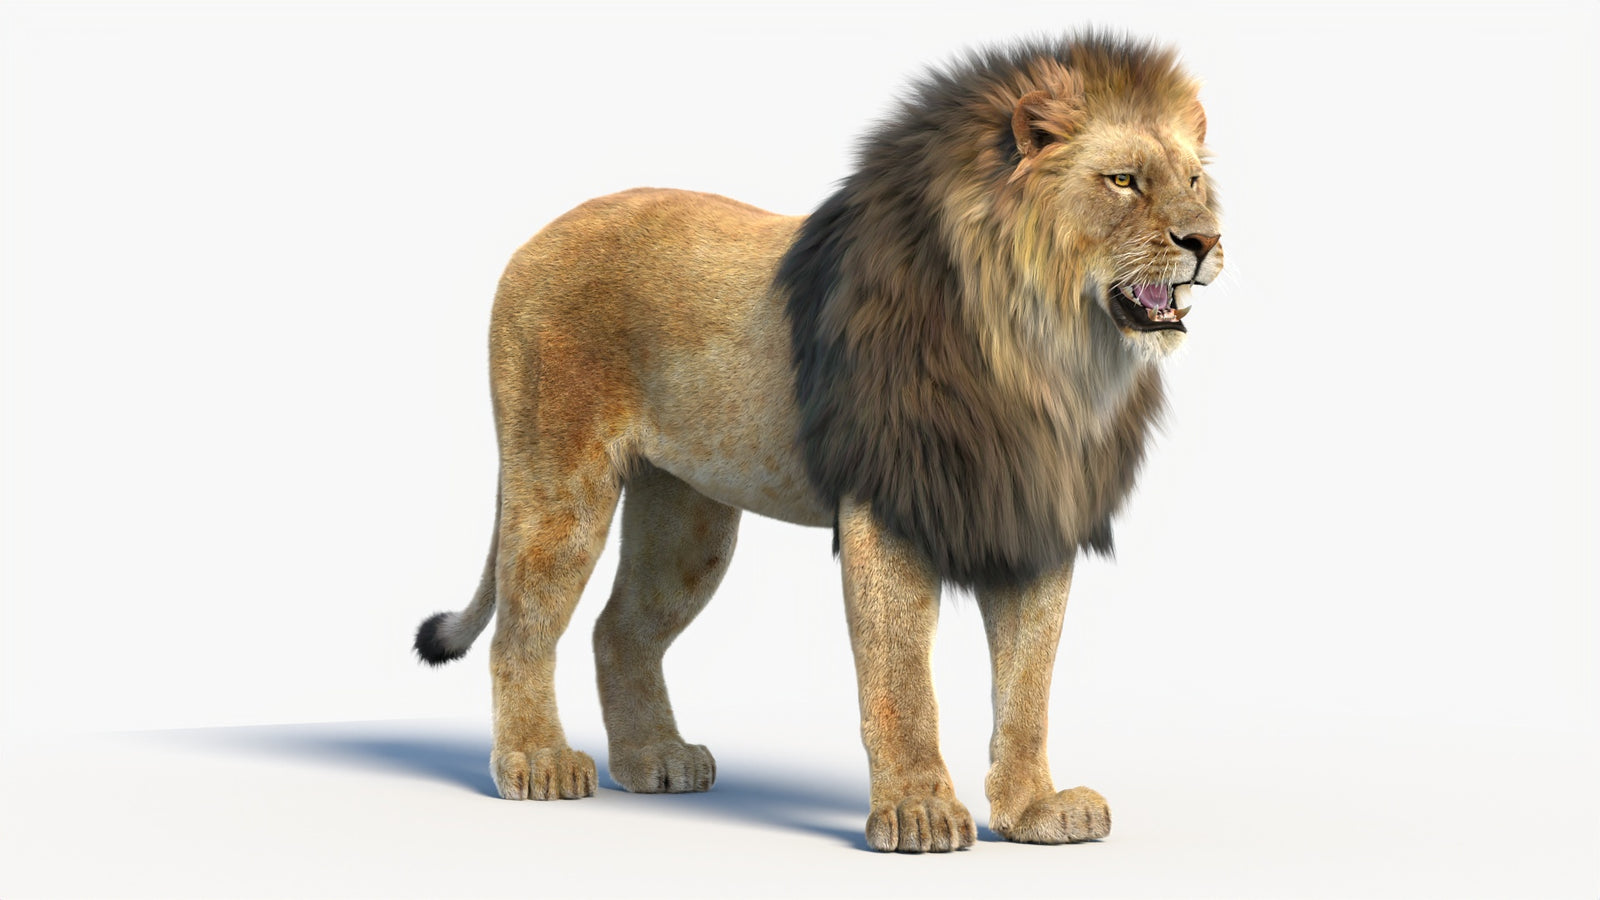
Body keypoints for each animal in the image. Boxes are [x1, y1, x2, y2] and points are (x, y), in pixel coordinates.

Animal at [414, 32, 1222, 853]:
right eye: (1123, 181)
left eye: (1194, 180)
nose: (1206, 239)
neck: (1046, 354)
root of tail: (536, 238)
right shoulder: (892, 506)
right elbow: (901, 677)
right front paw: (919, 812)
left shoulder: (1034, 513)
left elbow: (1028, 682)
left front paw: (1034, 811)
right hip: (560, 485)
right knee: (521, 628)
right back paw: (537, 762)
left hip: (688, 519)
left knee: (619, 630)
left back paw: (655, 760)